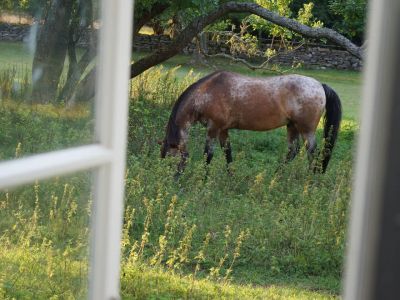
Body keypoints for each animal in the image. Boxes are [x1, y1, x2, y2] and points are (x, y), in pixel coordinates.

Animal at [161, 70, 342, 173]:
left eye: (170, 160)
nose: (171, 181)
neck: (208, 92)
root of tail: (320, 85)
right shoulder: (223, 130)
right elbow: (228, 154)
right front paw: (231, 176)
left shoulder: (213, 129)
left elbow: (208, 155)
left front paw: (203, 179)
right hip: (292, 127)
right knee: (293, 151)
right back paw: (275, 177)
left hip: (306, 130)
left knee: (313, 153)